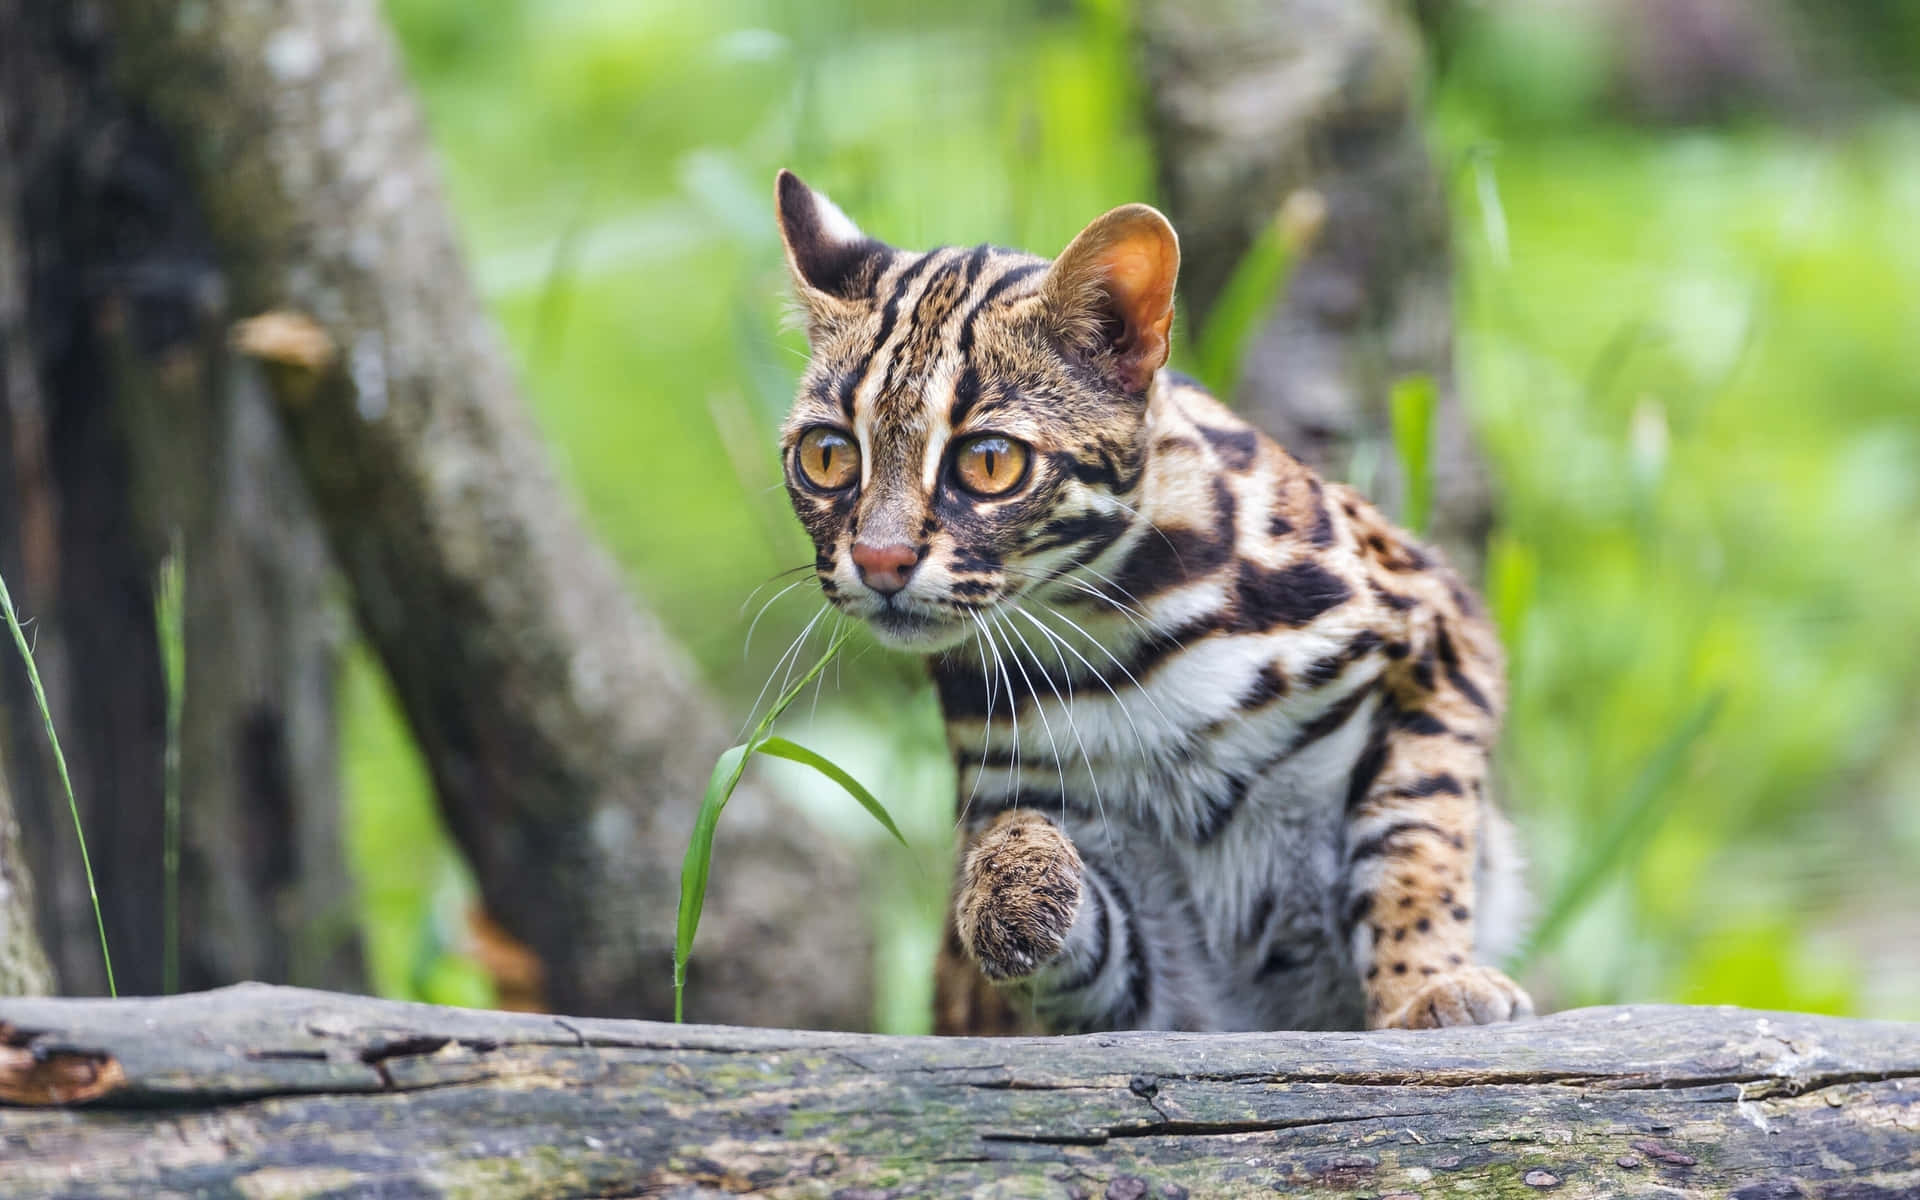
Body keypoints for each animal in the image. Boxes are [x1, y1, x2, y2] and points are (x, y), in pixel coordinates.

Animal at [764, 170, 1528, 1036]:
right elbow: (1075, 937)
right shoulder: (1121, 942)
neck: (1112, 638)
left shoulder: (1441, 634)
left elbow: (1414, 841)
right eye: (827, 455)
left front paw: (1425, 985)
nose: (878, 560)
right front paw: (1012, 881)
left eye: (989, 462)